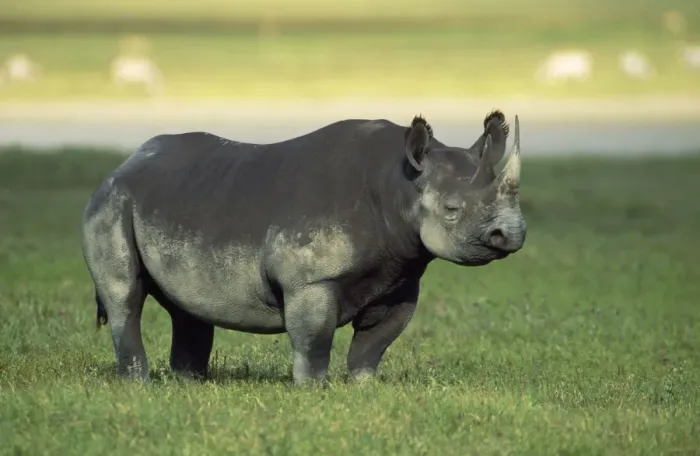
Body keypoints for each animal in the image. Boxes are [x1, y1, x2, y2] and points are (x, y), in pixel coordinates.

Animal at [81, 110, 526, 385]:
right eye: (451, 210)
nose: (512, 234)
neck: (399, 184)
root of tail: (123, 166)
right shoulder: (311, 281)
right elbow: (314, 340)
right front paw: (313, 390)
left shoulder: (400, 275)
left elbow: (374, 343)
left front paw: (364, 387)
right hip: (111, 203)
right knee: (125, 297)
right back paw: (140, 385)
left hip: (174, 199)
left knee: (188, 308)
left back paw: (189, 384)